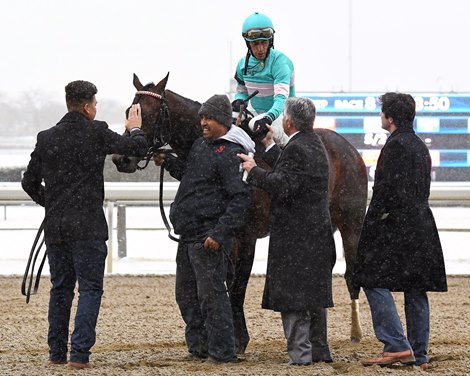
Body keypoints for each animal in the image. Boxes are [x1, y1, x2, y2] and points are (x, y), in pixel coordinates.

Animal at [112, 72, 370, 352]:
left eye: (147, 114)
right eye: (128, 111)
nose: (120, 158)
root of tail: (350, 149)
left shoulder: (245, 235)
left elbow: (237, 285)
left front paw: (238, 340)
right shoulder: (221, 235)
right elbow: (225, 280)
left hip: (352, 222)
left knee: (352, 272)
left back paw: (356, 331)